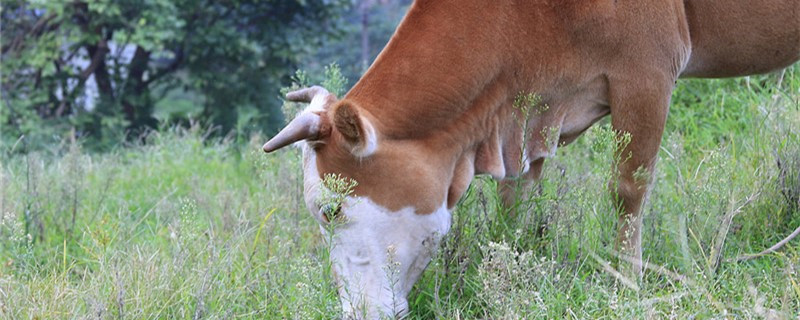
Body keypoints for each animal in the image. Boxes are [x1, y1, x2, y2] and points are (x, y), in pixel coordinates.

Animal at [264, 0, 800, 318]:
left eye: (331, 209)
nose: (356, 311)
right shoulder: (526, 116)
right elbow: (514, 205)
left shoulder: (646, 70)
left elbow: (628, 188)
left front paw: (626, 283)